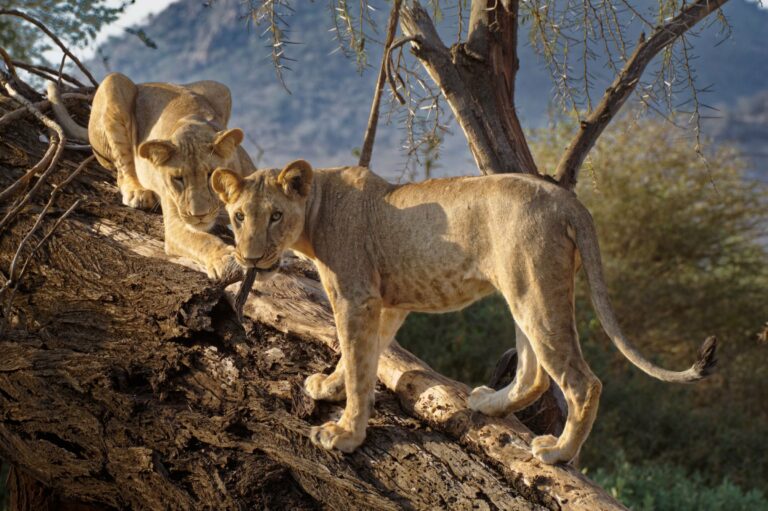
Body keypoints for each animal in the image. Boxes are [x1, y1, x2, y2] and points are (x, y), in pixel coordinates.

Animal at [48, 73, 255, 278]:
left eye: (211, 175)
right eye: (178, 179)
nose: (199, 216)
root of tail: (145, 84)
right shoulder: (175, 224)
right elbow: (202, 240)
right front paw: (226, 261)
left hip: (220, 88)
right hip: (113, 83)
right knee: (122, 170)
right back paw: (138, 193)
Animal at [210, 160, 717, 465]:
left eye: (276, 215)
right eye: (239, 216)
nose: (251, 256)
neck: (315, 210)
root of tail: (568, 200)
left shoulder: (356, 297)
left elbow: (356, 361)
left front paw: (345, 435)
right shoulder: (387, 302)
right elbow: (362, 359)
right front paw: (331, 389)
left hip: (534, 287)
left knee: (580, 381)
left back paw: (557, 452)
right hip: (522, 288)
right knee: (534, 373)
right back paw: (489, 403)